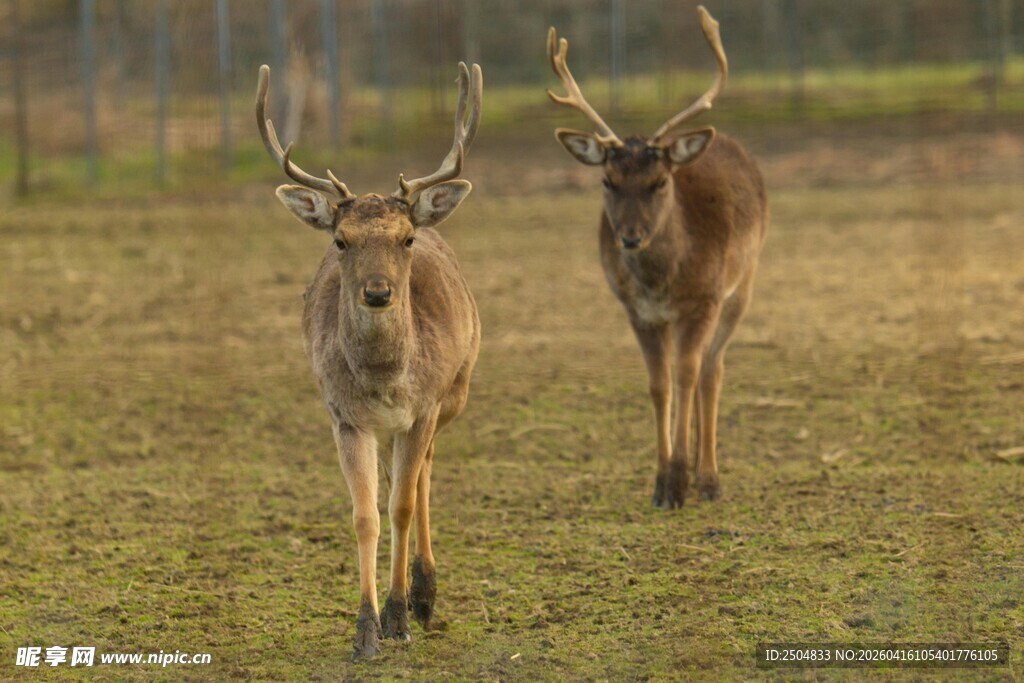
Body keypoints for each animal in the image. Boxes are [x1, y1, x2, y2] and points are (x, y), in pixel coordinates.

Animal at [256, 61, 482, 659]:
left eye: (405, 239)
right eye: (341, 240)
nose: (378, 292)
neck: (384, 383)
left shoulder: (424, 407)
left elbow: (400, 506)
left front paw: (400, 617)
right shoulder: (344, 417)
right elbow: (365, 516)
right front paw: (365, 629)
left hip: (455, 394)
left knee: (423, 472)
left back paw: (425, 594)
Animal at [546, 6, 768, 510]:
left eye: (660, 181)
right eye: (607, 180)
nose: (629, 238)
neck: (663, 282)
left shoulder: (703, 301)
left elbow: (686, 376)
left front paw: (680, 482)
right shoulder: (637, 311)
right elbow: (659, 384)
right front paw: (660, 484)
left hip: (743, 284)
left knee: (712, 370)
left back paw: (709, 478)